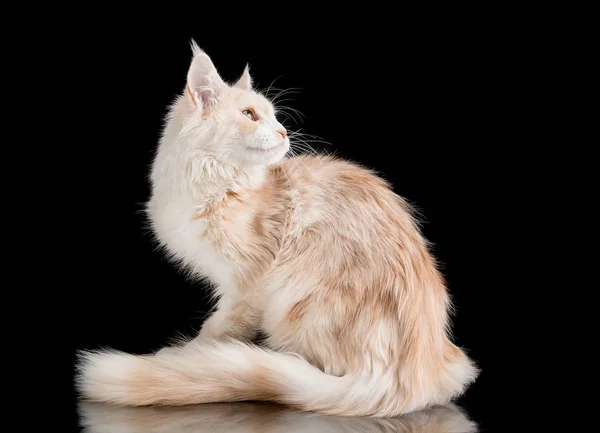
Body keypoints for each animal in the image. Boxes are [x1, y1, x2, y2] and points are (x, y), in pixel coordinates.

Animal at [75, 41, 478, 418]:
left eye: (275, 118)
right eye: (250, 115)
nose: (284, 132)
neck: (216, 185)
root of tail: (412, 379)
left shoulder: (247, 287)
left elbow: (216, 331)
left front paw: (183, 357)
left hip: (292, 304)